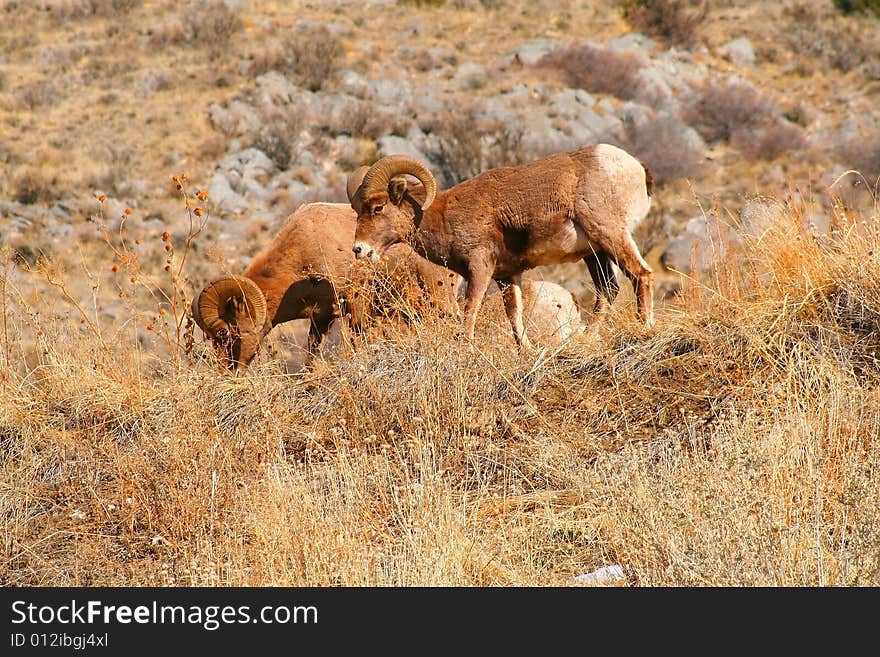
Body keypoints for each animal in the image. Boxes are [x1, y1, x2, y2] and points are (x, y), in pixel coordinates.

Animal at [348, 143, 652, 348]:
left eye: (377, 208)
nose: (359, 249)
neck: (443, 215)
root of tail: (635, 168)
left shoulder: (480, 269)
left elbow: (470, 310)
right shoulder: (507, 276)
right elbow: (514, 315)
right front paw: (526, 351)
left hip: (611, 236)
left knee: (641, 275)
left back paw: (645, 328)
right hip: (595, 254)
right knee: (608, 291)